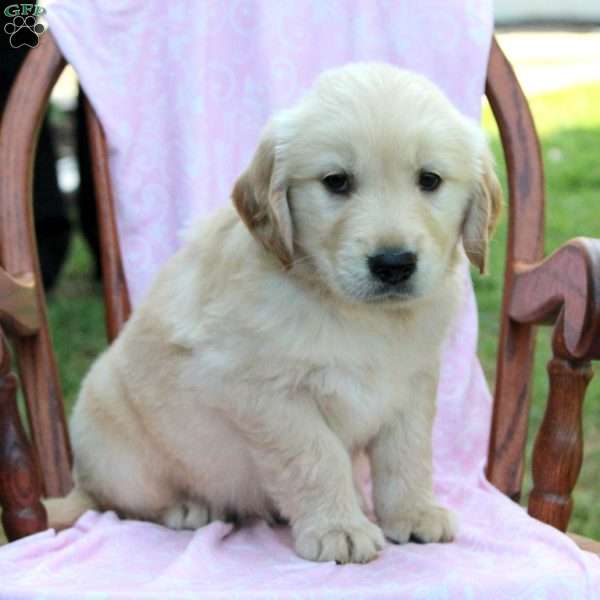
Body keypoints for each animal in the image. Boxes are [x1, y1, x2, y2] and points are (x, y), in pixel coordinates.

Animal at [47, 63, 500, 564]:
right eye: (336, 181)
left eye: (430, 180)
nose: (393, 264)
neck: (354, 313)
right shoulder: (266, 393)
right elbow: (317, 457)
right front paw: (339, 527)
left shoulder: (413, 382)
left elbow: (408, 452)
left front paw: (413, 512)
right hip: (114, 445)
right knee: (117, 502)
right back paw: (187, 506)